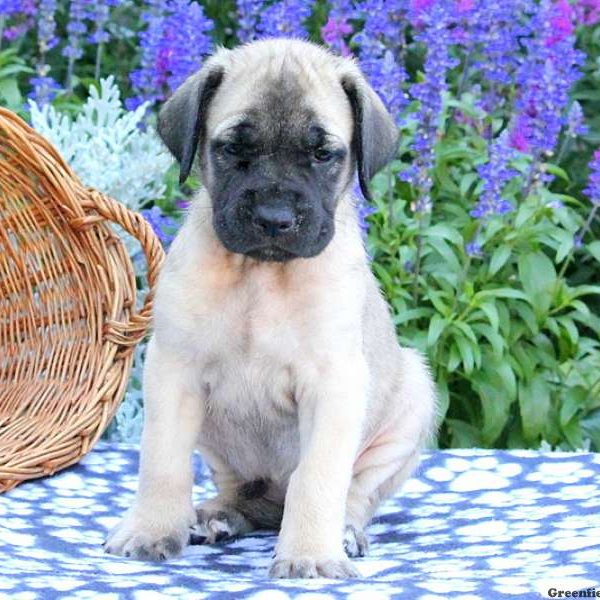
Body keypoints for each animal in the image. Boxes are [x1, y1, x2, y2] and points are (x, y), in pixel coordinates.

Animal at [105, 38, 436, 580]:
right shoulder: (174, 373)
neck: (259, 276)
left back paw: (343, 532)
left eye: (322, 154)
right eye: (233, 149)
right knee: (246, 493)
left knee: (355, 493)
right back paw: (218, 515)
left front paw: (311, 554)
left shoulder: (333, 386)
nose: (274, 219)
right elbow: (162, 462)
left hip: (411, 399)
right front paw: (151, 531)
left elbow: (318, 476)